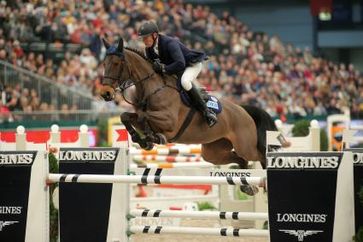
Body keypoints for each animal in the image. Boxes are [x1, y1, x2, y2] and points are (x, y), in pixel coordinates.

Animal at [99, 37, 290, 195]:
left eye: (116, 63)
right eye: (104, 63)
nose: (105, 93)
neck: (153, 87)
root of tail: (243, 110)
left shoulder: (169, 121)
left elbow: (144, 117)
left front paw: (152, 138)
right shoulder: (140, 116)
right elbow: (127, 116)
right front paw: (142, 140)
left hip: (245, 145)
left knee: (259, 156)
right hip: (213, 151)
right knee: (241, 160)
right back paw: (247, 187)